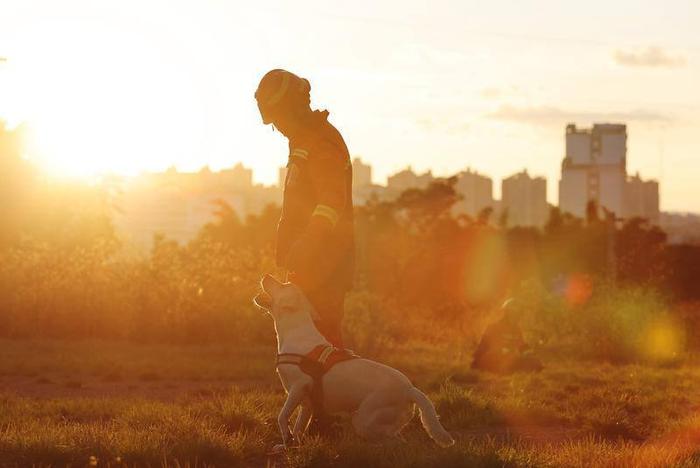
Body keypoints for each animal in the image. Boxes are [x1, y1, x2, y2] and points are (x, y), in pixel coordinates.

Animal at [252, 274, 454, 450]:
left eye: (283, 285)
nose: (266, 275)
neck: (295, 330)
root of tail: (410, 389)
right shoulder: (306, 404)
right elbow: (298, 428)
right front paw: (289, 447)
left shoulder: (298, 387)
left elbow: (282, 416)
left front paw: (286, 437)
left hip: (364, 419)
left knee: (395, 442)